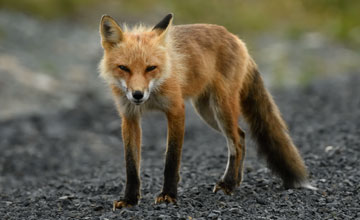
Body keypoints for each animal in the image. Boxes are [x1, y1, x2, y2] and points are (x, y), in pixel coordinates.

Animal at [98, 12, 316, 209]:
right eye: (123, 68)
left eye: (151, 68)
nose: (137, 95)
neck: (153, 93)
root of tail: (235, 37)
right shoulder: (129, 117)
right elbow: (131, 165)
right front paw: (129, 199)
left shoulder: (176, 110)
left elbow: (171, 160)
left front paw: (168, 195)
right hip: (207, 113)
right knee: (241, 136)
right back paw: (234, 181)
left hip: (222, 108)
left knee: (236, 142)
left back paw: (228, 184)